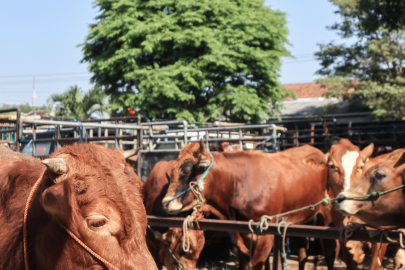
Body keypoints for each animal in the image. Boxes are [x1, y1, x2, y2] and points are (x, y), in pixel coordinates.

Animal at [162, 141, 332, 270]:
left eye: (186, 170)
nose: (165, 203)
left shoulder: (267, 234)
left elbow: (256, 264)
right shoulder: (241, 234)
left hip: (326, 217)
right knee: (303, 251)